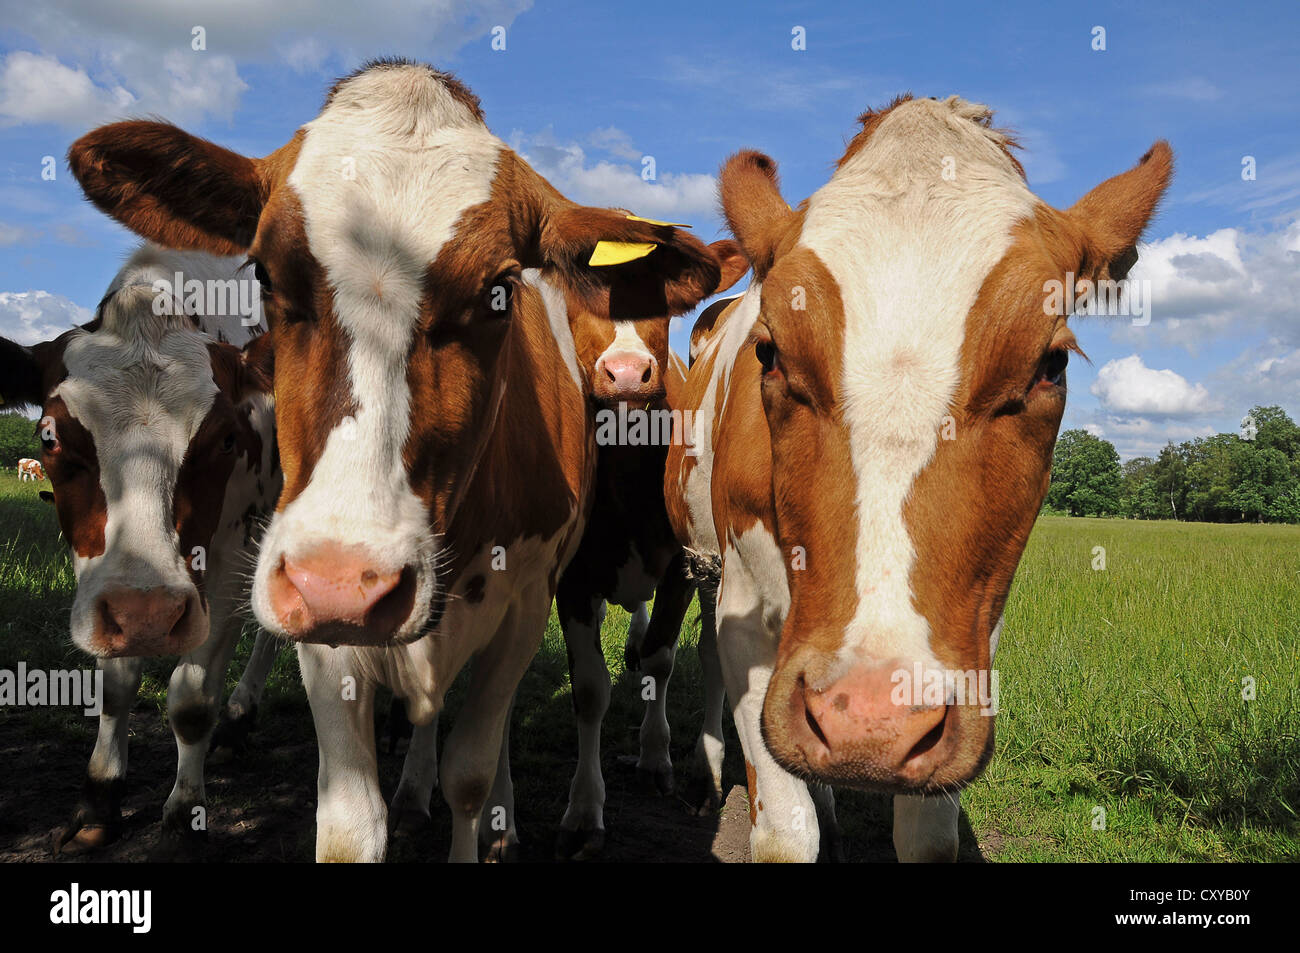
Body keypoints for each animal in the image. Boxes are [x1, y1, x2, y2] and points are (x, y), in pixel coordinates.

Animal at [0, 241, 282, 852]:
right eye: (49, 438)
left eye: (227, 438)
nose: (148, 615)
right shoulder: (100, 579)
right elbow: (115, 684)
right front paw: (100, 796)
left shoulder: (227, 560)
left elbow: (192, 700)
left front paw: (184, 811)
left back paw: (239, 716)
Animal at [71, 61, 738, 863]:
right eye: (264, 274)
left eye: (500, 289)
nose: (342, 582)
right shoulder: (319, 629)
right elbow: (350, 822)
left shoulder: (530, 603)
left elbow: (473, 774)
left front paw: (491, 817)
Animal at [665, 96, 1175, 863]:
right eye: (771, 352)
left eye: (1051, 365)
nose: (868, 721)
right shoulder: (745, 607)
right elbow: (784, 832)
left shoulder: (969, 637)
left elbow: (928, 836)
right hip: (702, 566)